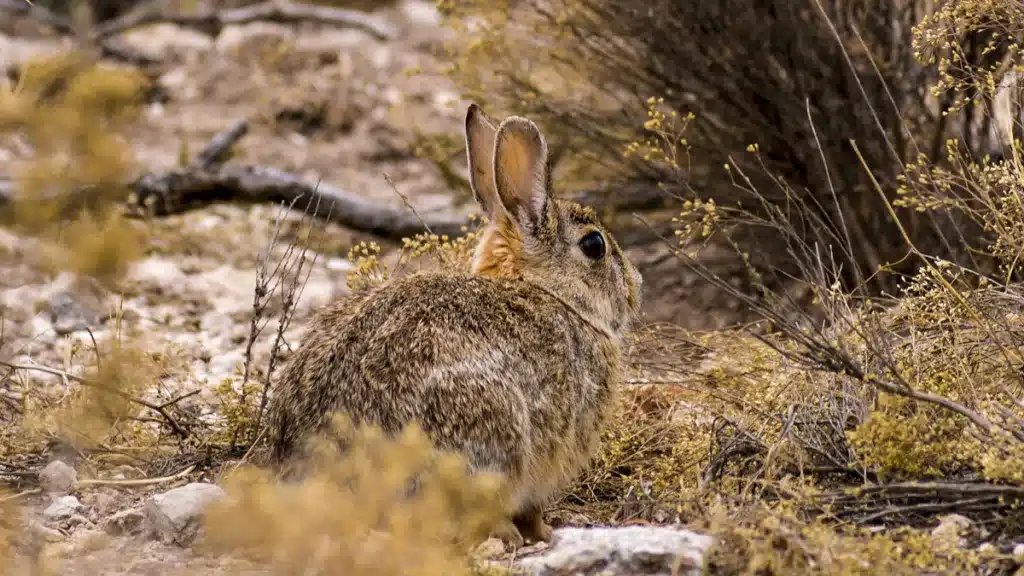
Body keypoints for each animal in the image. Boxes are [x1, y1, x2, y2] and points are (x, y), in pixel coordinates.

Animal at [268, 103, 643, 545]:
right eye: (594, 245)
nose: (636, 286)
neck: (544, 289)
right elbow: (533, 507)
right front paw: (545, 533)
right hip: (486, 426)